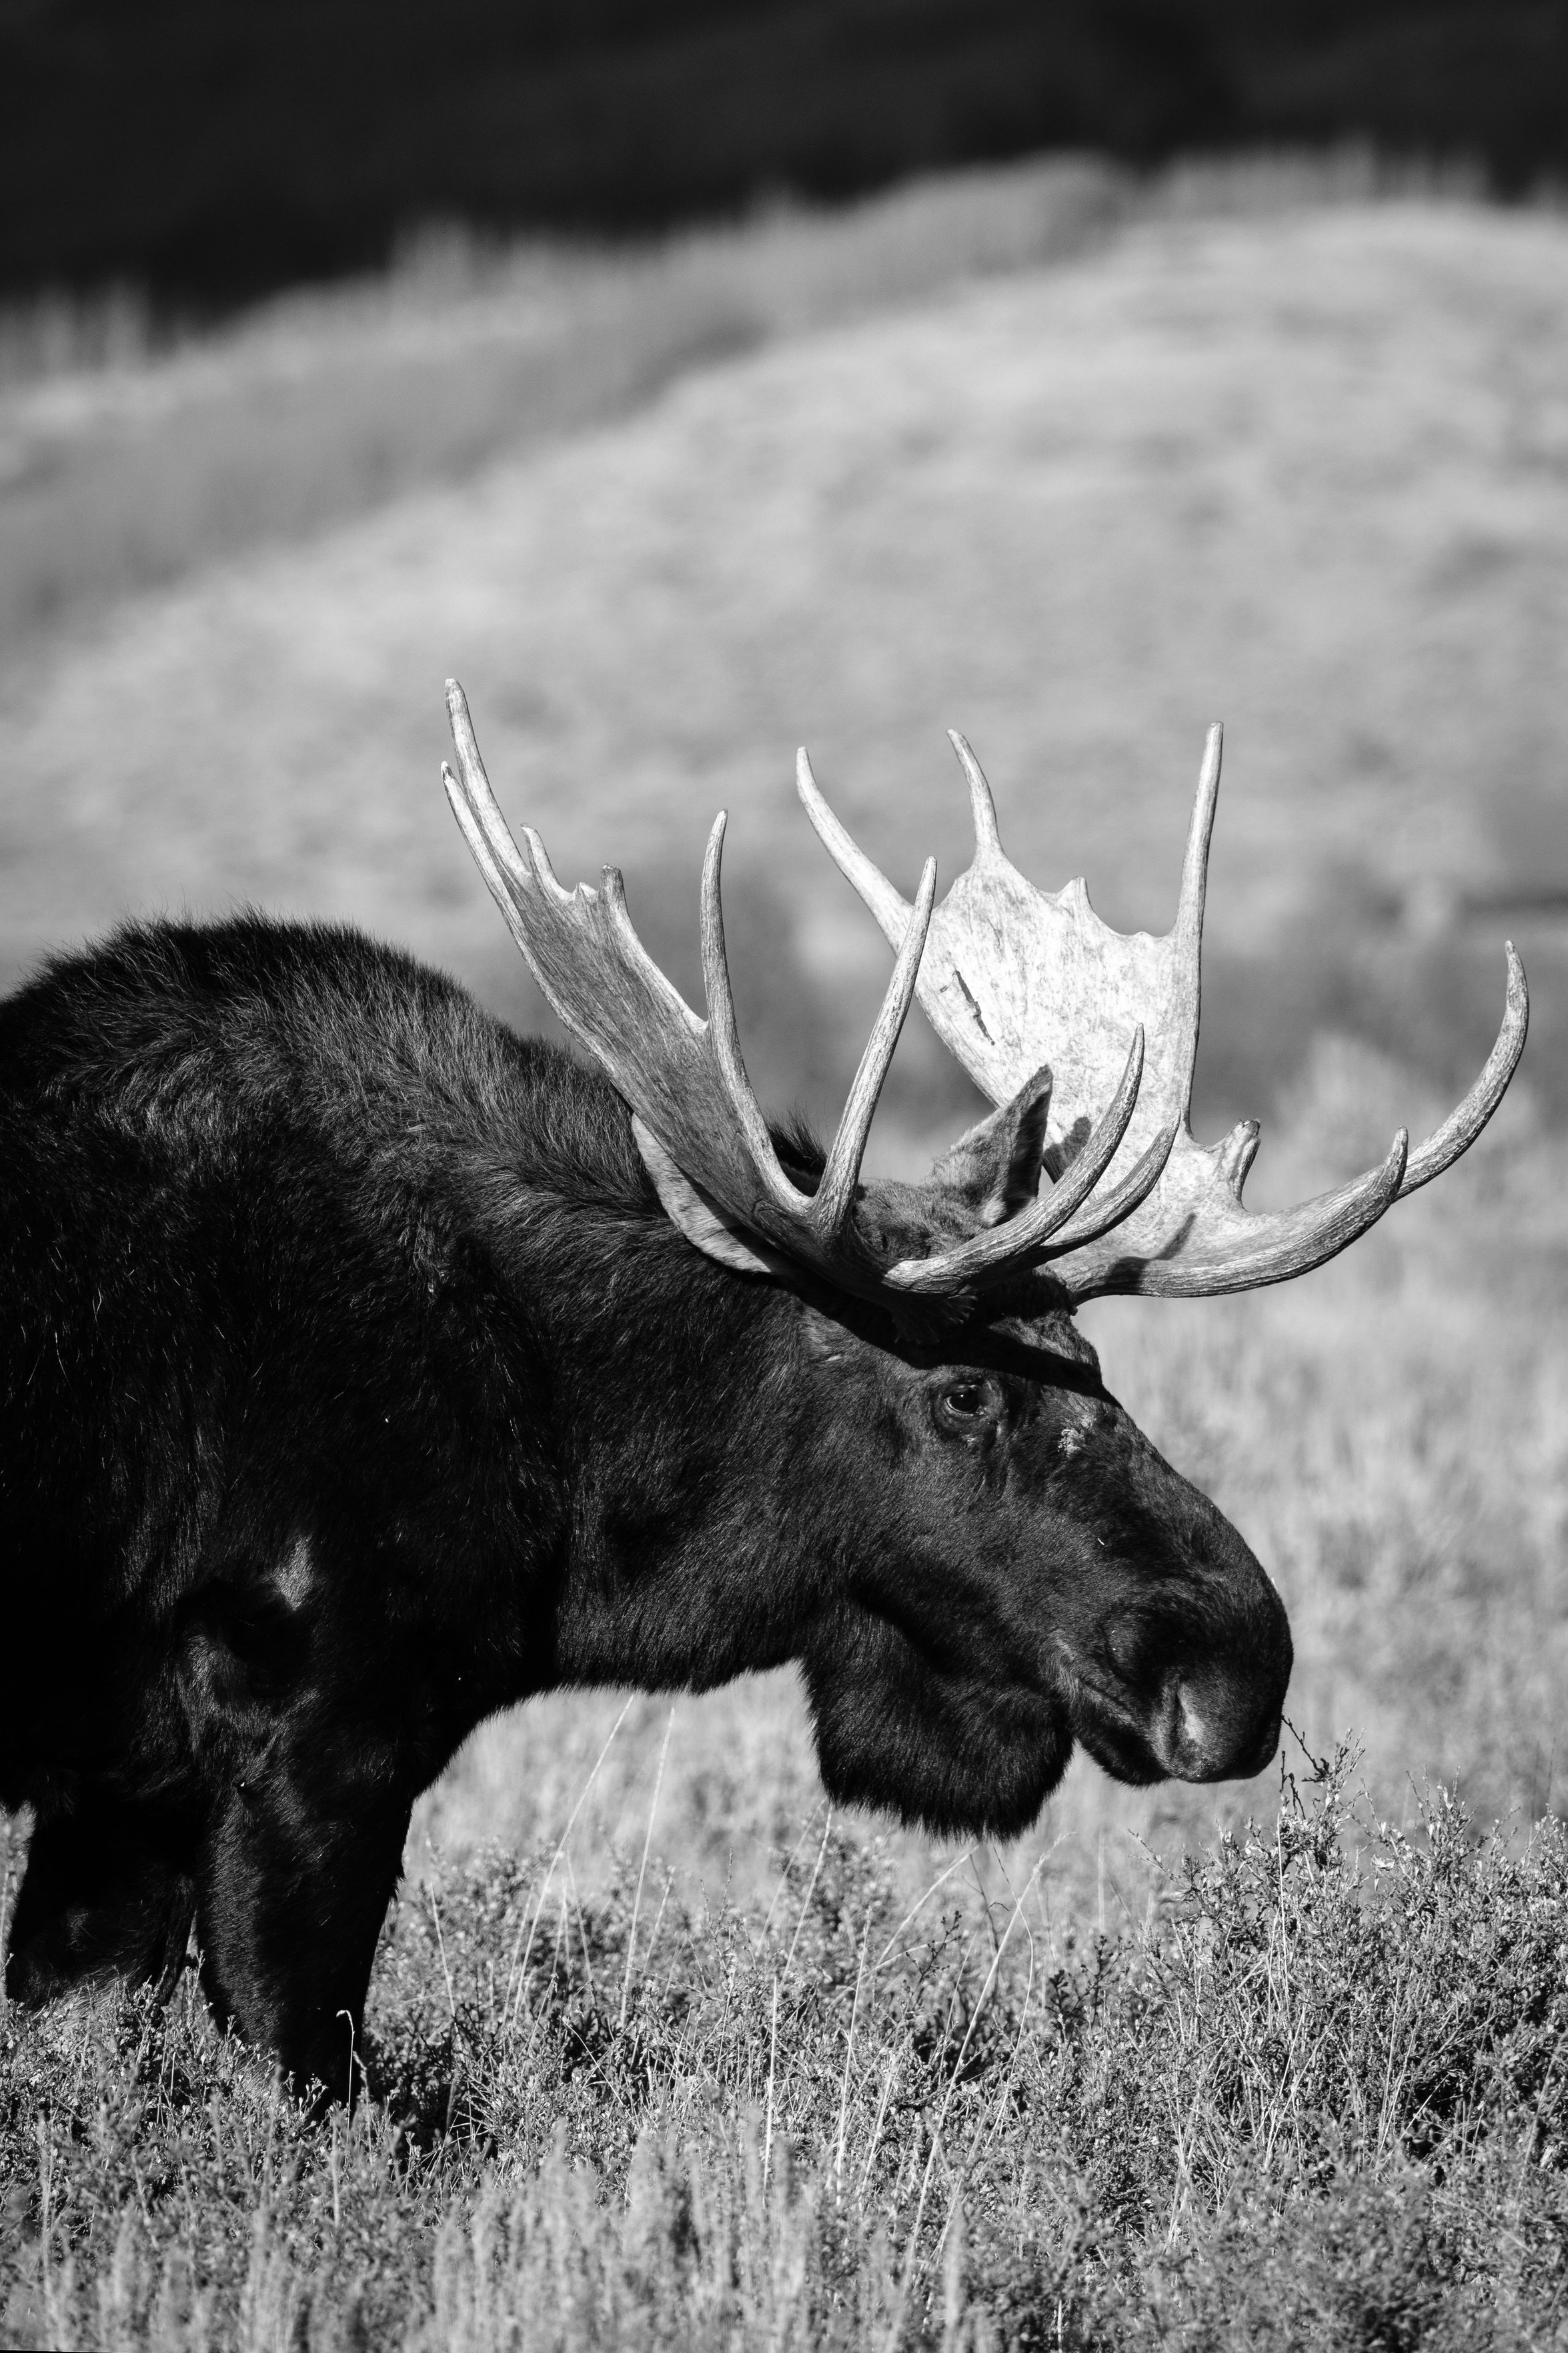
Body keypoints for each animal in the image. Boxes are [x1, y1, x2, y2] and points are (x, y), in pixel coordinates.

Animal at [0, 686, 1523, 2099]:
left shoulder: (121, 1796)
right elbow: (305, 2076)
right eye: (963, 1393)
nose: (1236, 1659)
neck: (570, 1464)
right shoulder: (309, 1743)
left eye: (1089, 1361)